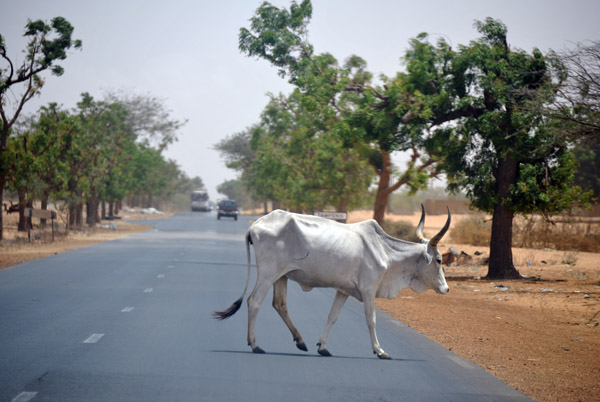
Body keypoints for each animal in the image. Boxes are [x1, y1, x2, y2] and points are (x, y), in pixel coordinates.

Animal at [212, 206, 450, 360]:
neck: (385, 250)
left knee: (279, 304)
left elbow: (332, 317)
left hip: (281, 276)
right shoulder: (369, 289)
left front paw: (322, 347)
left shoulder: (343, 290)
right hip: (268, 273)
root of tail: (256, 226)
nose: (446, 288)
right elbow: (371, 320)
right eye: (439, 260)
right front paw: (380, 351)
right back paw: (255, 344)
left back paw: (300, 341)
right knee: (254, 302)